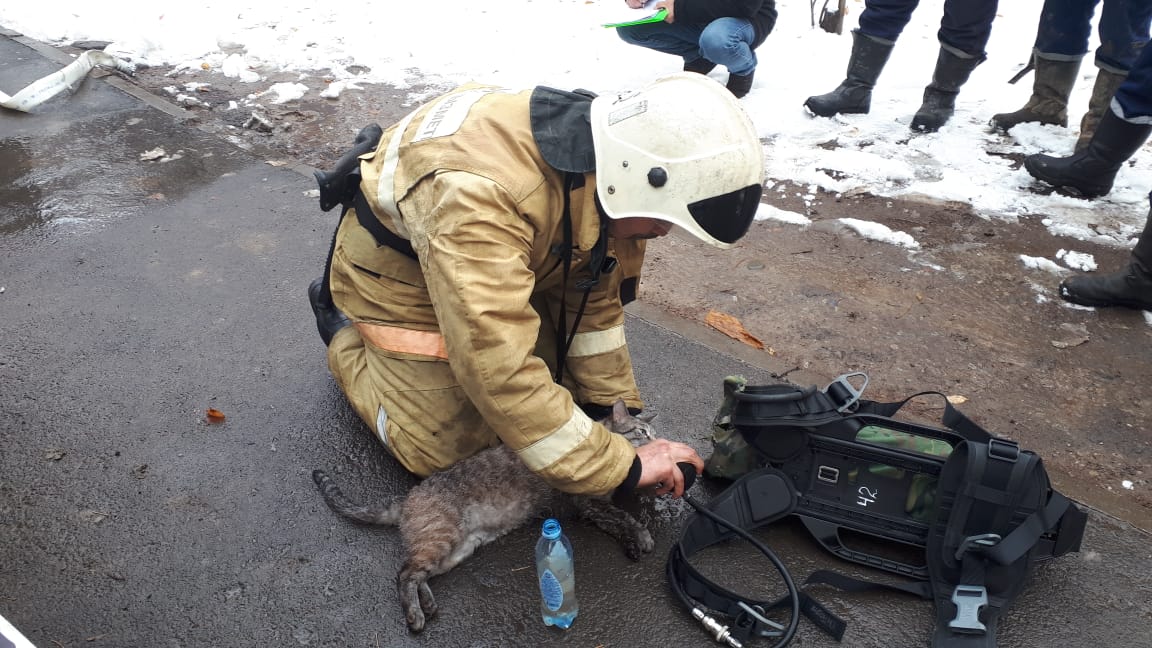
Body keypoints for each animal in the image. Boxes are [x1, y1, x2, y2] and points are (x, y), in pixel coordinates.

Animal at [313, 398, 658, 631]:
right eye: (643, 432)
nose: (657, 440)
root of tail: (410, 495)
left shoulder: (593, 508)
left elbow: (617, 520)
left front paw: (632, 541)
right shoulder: (588, 502)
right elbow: (624, 518)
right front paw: (640, 535)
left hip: (456, 549)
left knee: (417, 572)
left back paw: (427, 600)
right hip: (442, 537)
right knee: (404, 573)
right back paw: (415, 613)